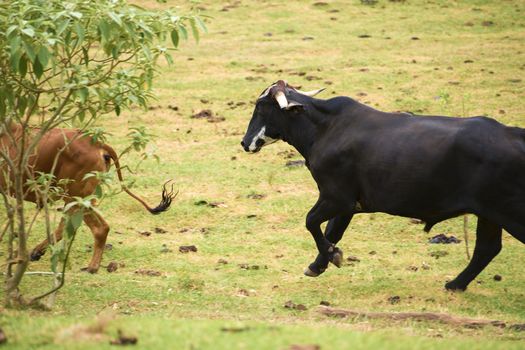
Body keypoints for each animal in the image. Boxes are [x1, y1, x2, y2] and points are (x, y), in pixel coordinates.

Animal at [1, 123, 175, 274]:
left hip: (76, 198)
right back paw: (38, 252)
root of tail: (96, 143)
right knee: (68, 227)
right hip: (75, 199)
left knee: (100, 228)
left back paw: (92, 267)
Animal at [241, 80, 524, 292]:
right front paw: (320, 263)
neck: (326, 128)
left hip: (507, 211)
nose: (245, 142)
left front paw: (332, 255)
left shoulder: (336, 197)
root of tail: (514, 134)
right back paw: (455, 284)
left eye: (261, 107)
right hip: (489, 214)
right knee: (487, 249)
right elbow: (332, 231)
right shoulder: (348, 204)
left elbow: (311, 222)